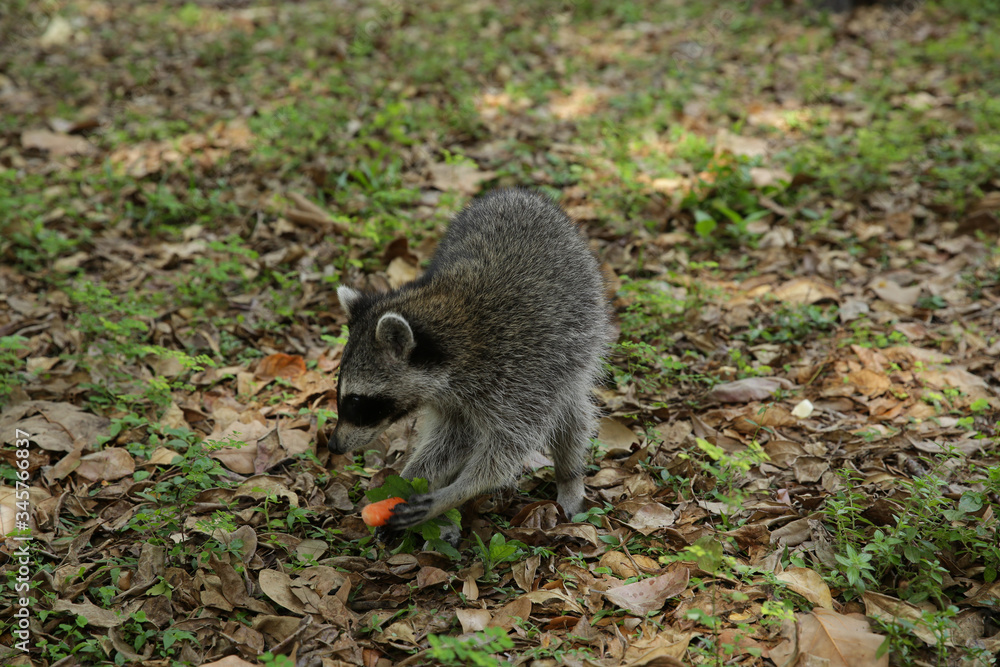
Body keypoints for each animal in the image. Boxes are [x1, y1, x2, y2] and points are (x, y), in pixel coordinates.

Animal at [330, 189, 608, 532]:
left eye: (358, 400)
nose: (333, 446)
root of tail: (517, 193)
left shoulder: (522, 378)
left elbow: (507, 449)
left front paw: (458, 491)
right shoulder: (454, 397)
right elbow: (454, 438)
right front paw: (413, 478)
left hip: (584, 332)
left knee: (571, 415)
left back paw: (569, 475)